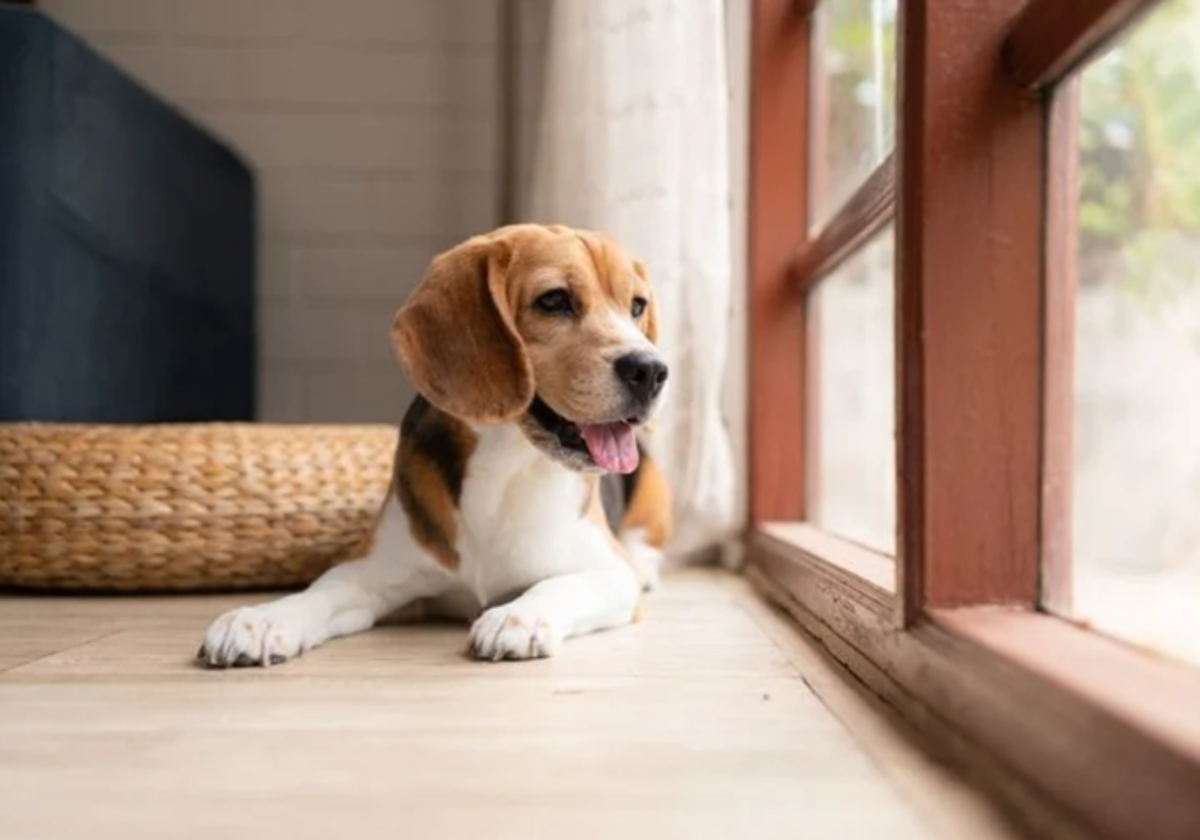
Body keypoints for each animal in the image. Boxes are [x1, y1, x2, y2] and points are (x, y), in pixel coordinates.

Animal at [201, 223, 681, 662]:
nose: (652, 370)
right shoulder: (369, 571)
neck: (505, 464)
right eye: (553, 300)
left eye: (636, 306)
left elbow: (558, 586)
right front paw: (261, 619)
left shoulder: (608, 572)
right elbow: (317, 593)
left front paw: (517, 616)